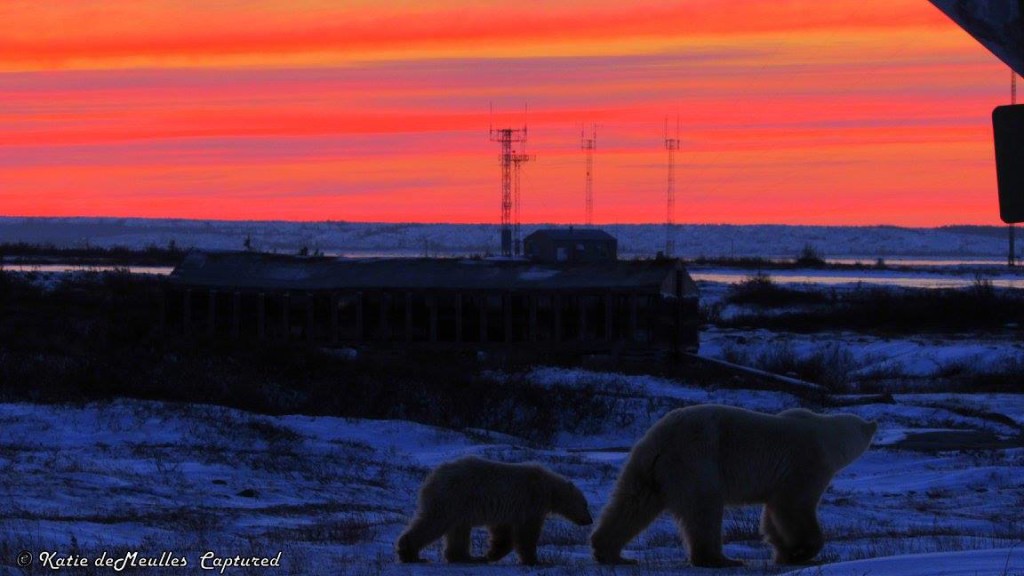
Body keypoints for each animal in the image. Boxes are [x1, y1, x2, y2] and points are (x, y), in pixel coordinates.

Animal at [396, 456, 593, 565]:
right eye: (585, 505)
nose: (589, 520)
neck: (549, 488)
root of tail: (432, 477)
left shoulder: (509, 510)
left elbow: (503, 532)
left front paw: (492, 553)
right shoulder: (531, 502)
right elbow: (527, 532)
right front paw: (536, 561)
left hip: (460, 505)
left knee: (458, 529)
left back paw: (468, 558)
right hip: (453, 496)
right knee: (435, 521)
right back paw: (410, 553)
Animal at [590, 404, 876, 567]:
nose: (874, 424)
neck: (826, 434)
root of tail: (659, 441)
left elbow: (773, 514)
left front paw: (783, 551)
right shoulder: (806, 463)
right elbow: (794, 506)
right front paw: (802, 551)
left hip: (646, 467)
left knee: (632, 503)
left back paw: (610, 551)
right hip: (696, 461)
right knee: (704, 509)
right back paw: (721, 559)